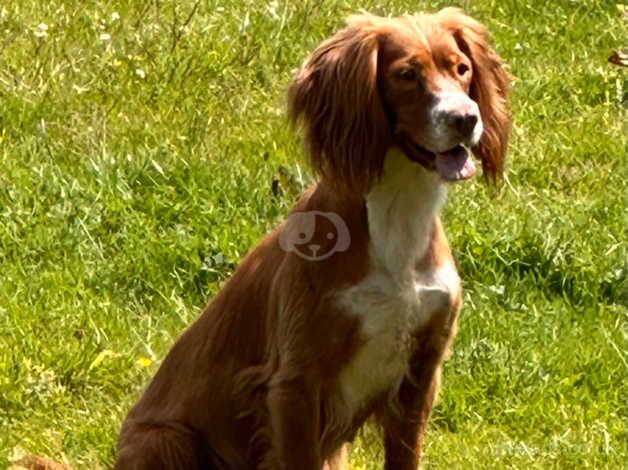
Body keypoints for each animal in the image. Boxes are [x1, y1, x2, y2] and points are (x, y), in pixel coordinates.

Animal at [115, 8, 510, 470]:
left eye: (462, 69)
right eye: (406, 74)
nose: (466, 119)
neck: (396, 212)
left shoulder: (422, 370)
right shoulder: (296, 382)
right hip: (165, 439)